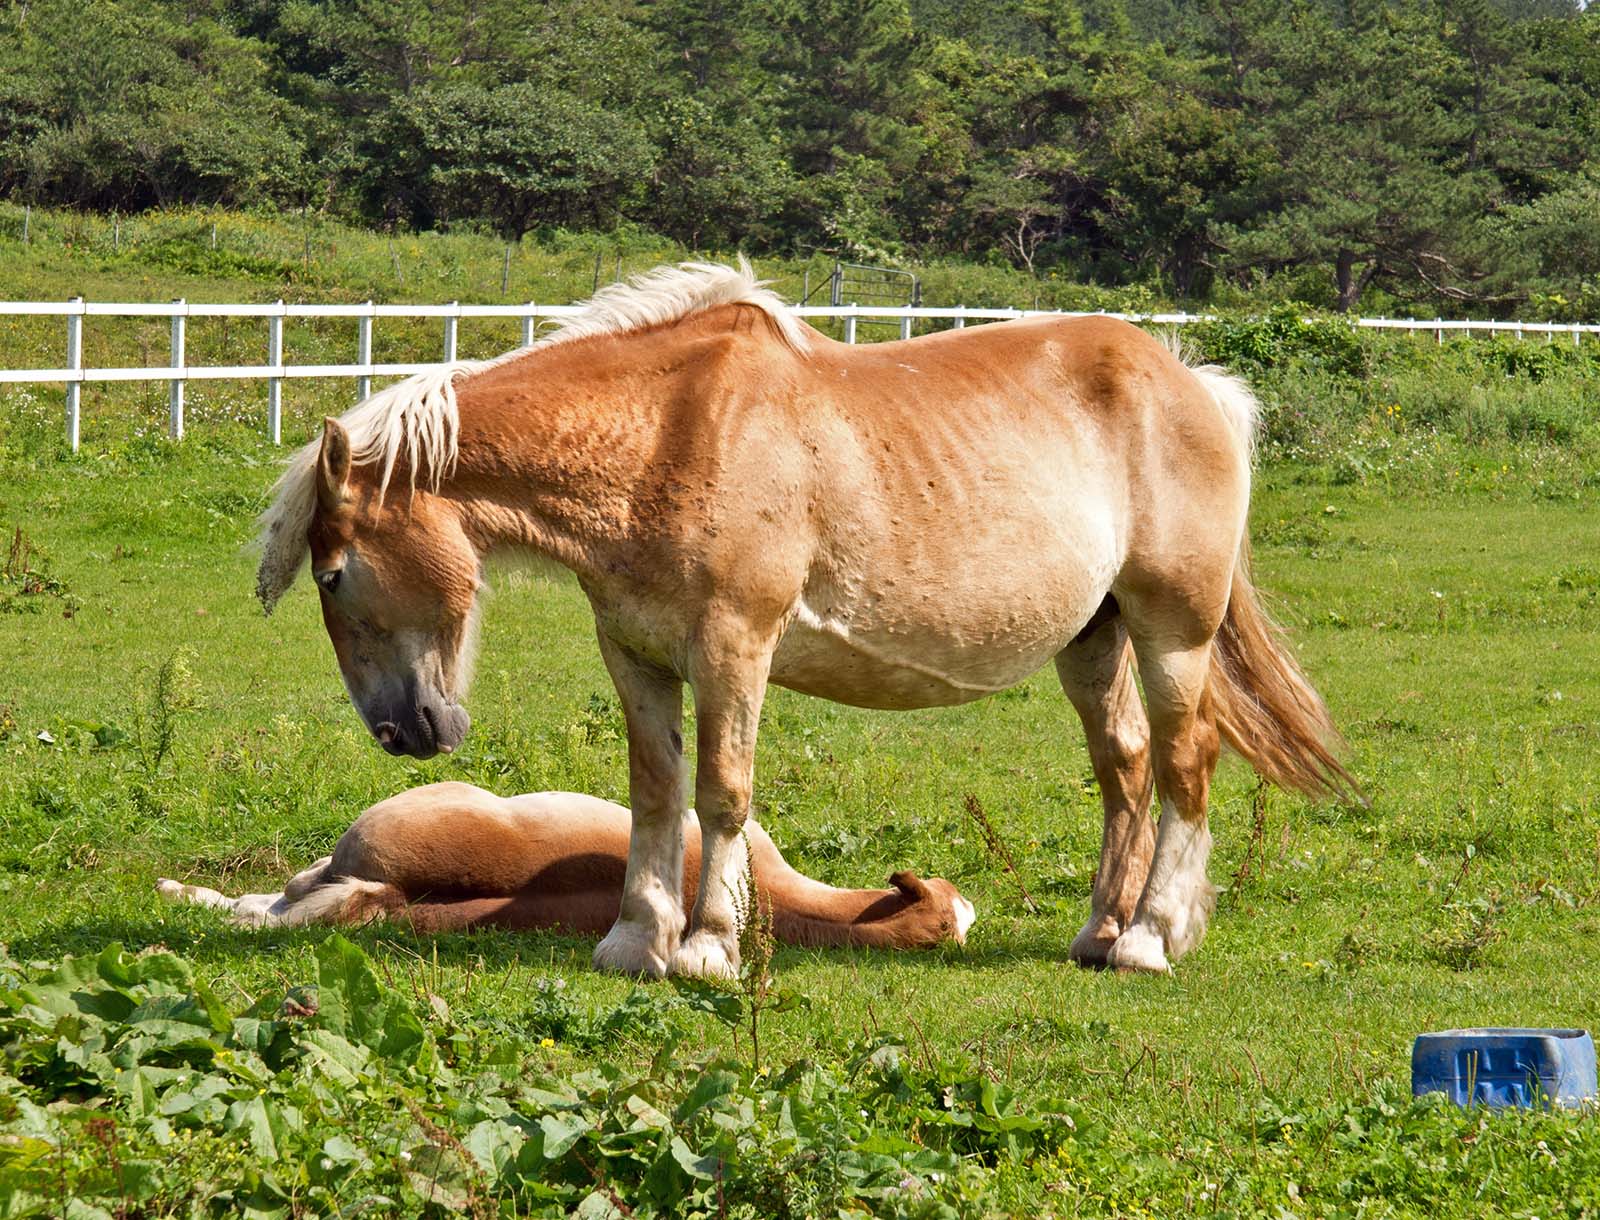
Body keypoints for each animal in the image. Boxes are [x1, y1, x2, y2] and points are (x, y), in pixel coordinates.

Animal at [256, 259, 1355, 978]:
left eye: (334, 576)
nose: (401, 732)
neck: (666, 435)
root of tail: (1195, 384)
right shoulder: (638, 655)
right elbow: (656, 795)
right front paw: (634, 942)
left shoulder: (733, 646)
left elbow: (721, 794)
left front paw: (705, 947)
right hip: (1096, 639)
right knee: (1124, 769)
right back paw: (1097, 933)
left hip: (1174, 633)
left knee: (1183, 765)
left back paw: (1150, 938)